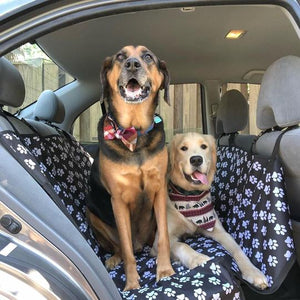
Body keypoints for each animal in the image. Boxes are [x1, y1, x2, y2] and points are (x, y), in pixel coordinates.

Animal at [86, 46, 175, 290]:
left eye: (148, 57)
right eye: (120, 56)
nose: (132, 64)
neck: (134, 134)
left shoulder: (159, 191)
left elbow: (164, 237)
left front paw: (165, 270)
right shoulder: (118, 200)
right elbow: (126, 249)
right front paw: (132, 283)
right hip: (92, 214)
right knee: (121, 247)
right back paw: (114, 258)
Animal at [154, 132, 268, 290]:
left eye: (204, 146)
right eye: (183, 148)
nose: (196, 159)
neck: (191, 197)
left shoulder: (219, 231)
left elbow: (237, 249)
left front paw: (253, 272)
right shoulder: (159, 241)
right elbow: (181, 245)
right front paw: (198, 258)